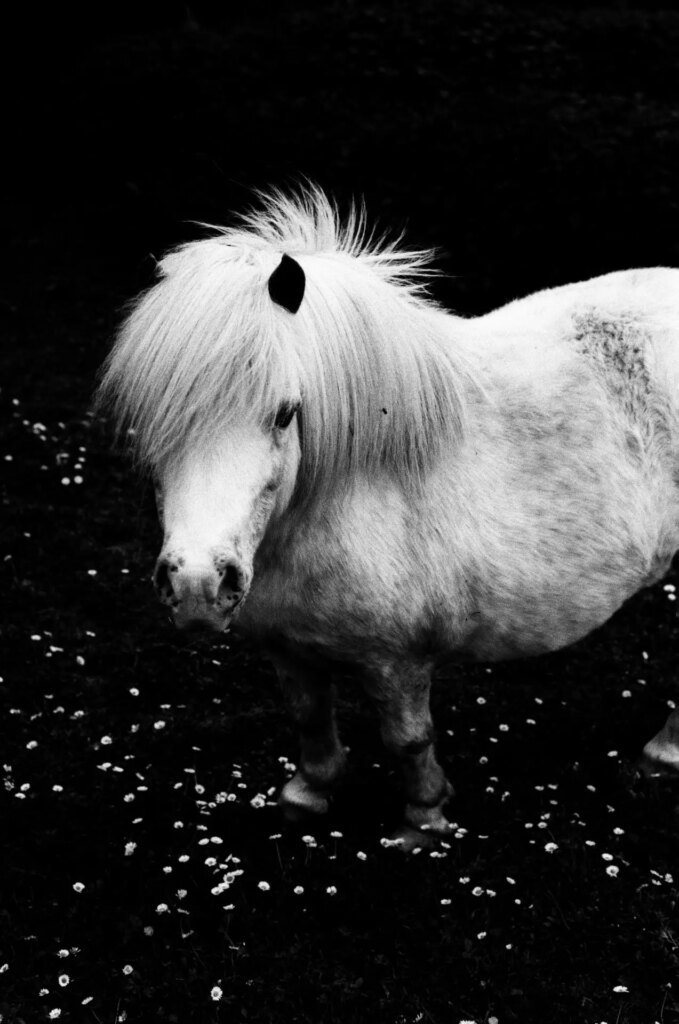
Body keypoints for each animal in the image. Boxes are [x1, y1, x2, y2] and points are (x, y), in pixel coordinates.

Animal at [99, 184, 679, 847]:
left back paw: (663, 753)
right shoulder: (286, 646)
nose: (197, 587)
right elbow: (309, 720)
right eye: (154, 419)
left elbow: (408, 739)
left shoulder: (397, 660)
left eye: (285, 412)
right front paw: (307, 796)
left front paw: (423, 818)